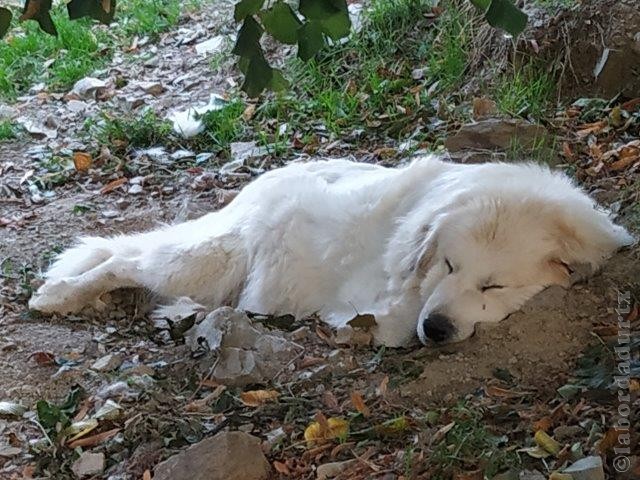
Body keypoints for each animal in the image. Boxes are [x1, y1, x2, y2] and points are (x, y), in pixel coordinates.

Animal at [27, 156, 632, 346]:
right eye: (449, 265)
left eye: (493, 284)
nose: (436, 330)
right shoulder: (389, 301)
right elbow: (391, 318)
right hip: (206, 259)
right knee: (124, 262)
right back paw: (59, 295)